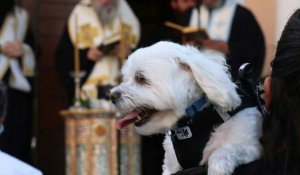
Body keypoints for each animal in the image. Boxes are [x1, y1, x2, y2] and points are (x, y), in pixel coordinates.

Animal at [110, 41, 262, 175]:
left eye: (140, 78)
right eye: (126, 78)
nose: (111, 95)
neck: (191, 122)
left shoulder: (252, 147)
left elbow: (223, 151)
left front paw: (217, 166)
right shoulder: (171, 164)